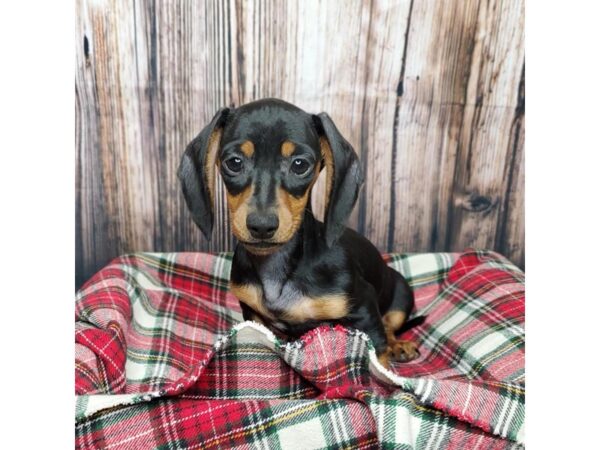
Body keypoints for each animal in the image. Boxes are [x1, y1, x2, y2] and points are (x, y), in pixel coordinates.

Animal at [179, 97, 418, 366]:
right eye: (234, 162)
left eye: (300, 164)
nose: (262, 225)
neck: (277, 267)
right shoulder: (254, 316)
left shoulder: (365, 309)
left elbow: (378, 357)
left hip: (401, 294)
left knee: (390, 325)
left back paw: (399, 345)